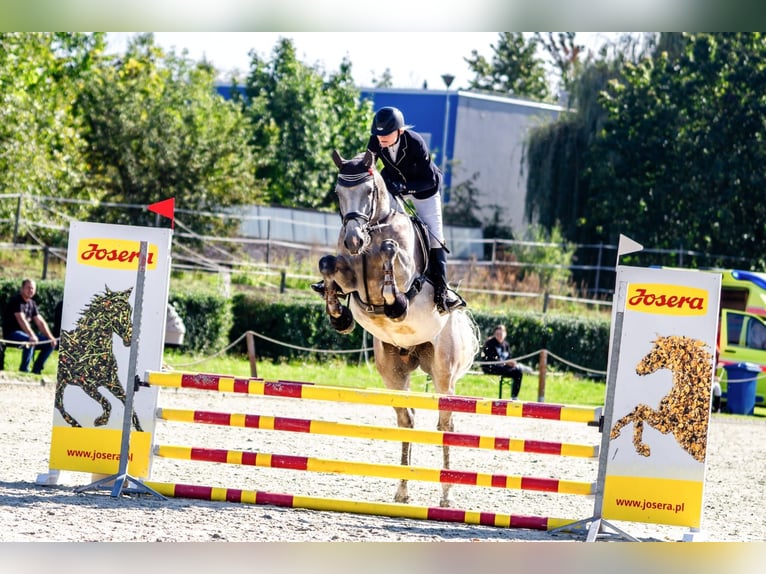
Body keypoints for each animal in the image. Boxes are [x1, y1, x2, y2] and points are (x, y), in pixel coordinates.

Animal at [55, 286, 142, 432]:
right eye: (116, 311)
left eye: (130, 310)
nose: (130, 338)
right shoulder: (86, 384)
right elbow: (107, 403)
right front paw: (100, 421)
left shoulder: (111, 381)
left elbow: (128, 404)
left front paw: (140, 430)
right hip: (62, 380)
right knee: (58, 403)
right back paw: (77, 425)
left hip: (62, 381)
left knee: (58, 403)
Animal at [317, 149, 480, 507]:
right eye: (338, 193)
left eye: (369, 192)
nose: (353, 239)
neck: (372, 230)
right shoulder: (351, 276)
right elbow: (328, 265)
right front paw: (338, 314)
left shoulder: (402, 269)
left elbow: (390, 252)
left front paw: (394, 302)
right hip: (393, 369)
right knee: (406, 421)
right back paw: (402, 490)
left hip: (443, 372)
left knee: (445, 424)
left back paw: (446, 495)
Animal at [609, 334, 713, 463]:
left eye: (658, 352)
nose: (638, 369)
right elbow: (637, 411)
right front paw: (615, 433)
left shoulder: (666, 424)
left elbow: (639, 410)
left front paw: (641, 447)